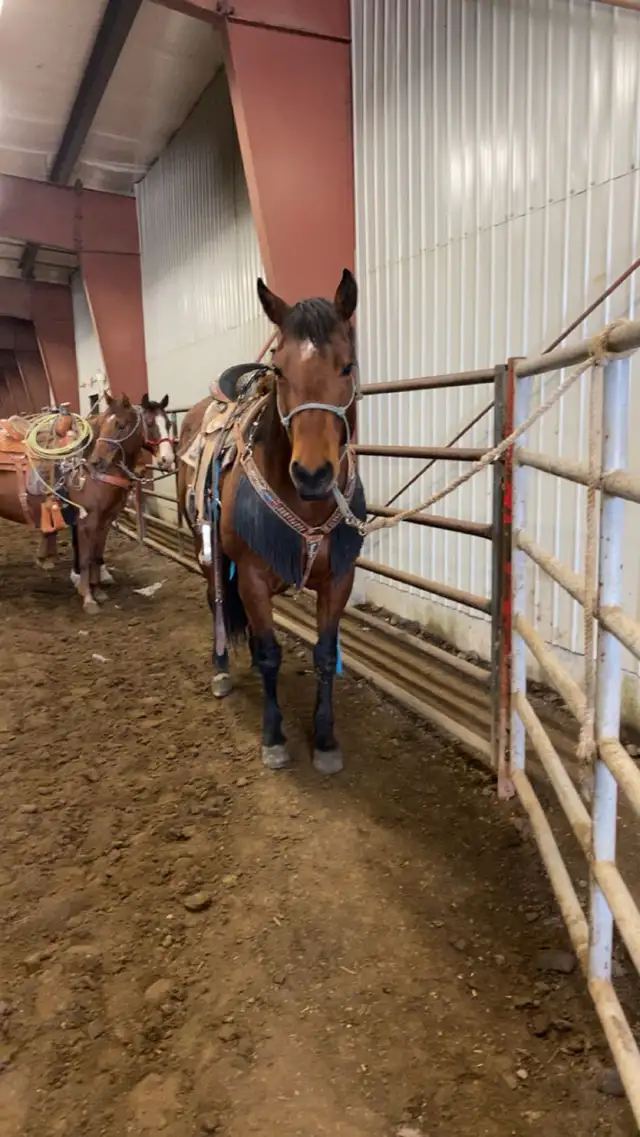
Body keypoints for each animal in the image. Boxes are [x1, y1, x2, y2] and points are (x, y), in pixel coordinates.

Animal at [177, 269, 366, 774]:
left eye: (347, 367)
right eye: (280, 370)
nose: (313, 474)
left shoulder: (338, 578)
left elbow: (324, 654)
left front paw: (325, 740)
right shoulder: (253, 579)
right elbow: (268, 654)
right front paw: (274, 737)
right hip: (206, 550)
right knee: (214, 602)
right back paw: (222, 668)